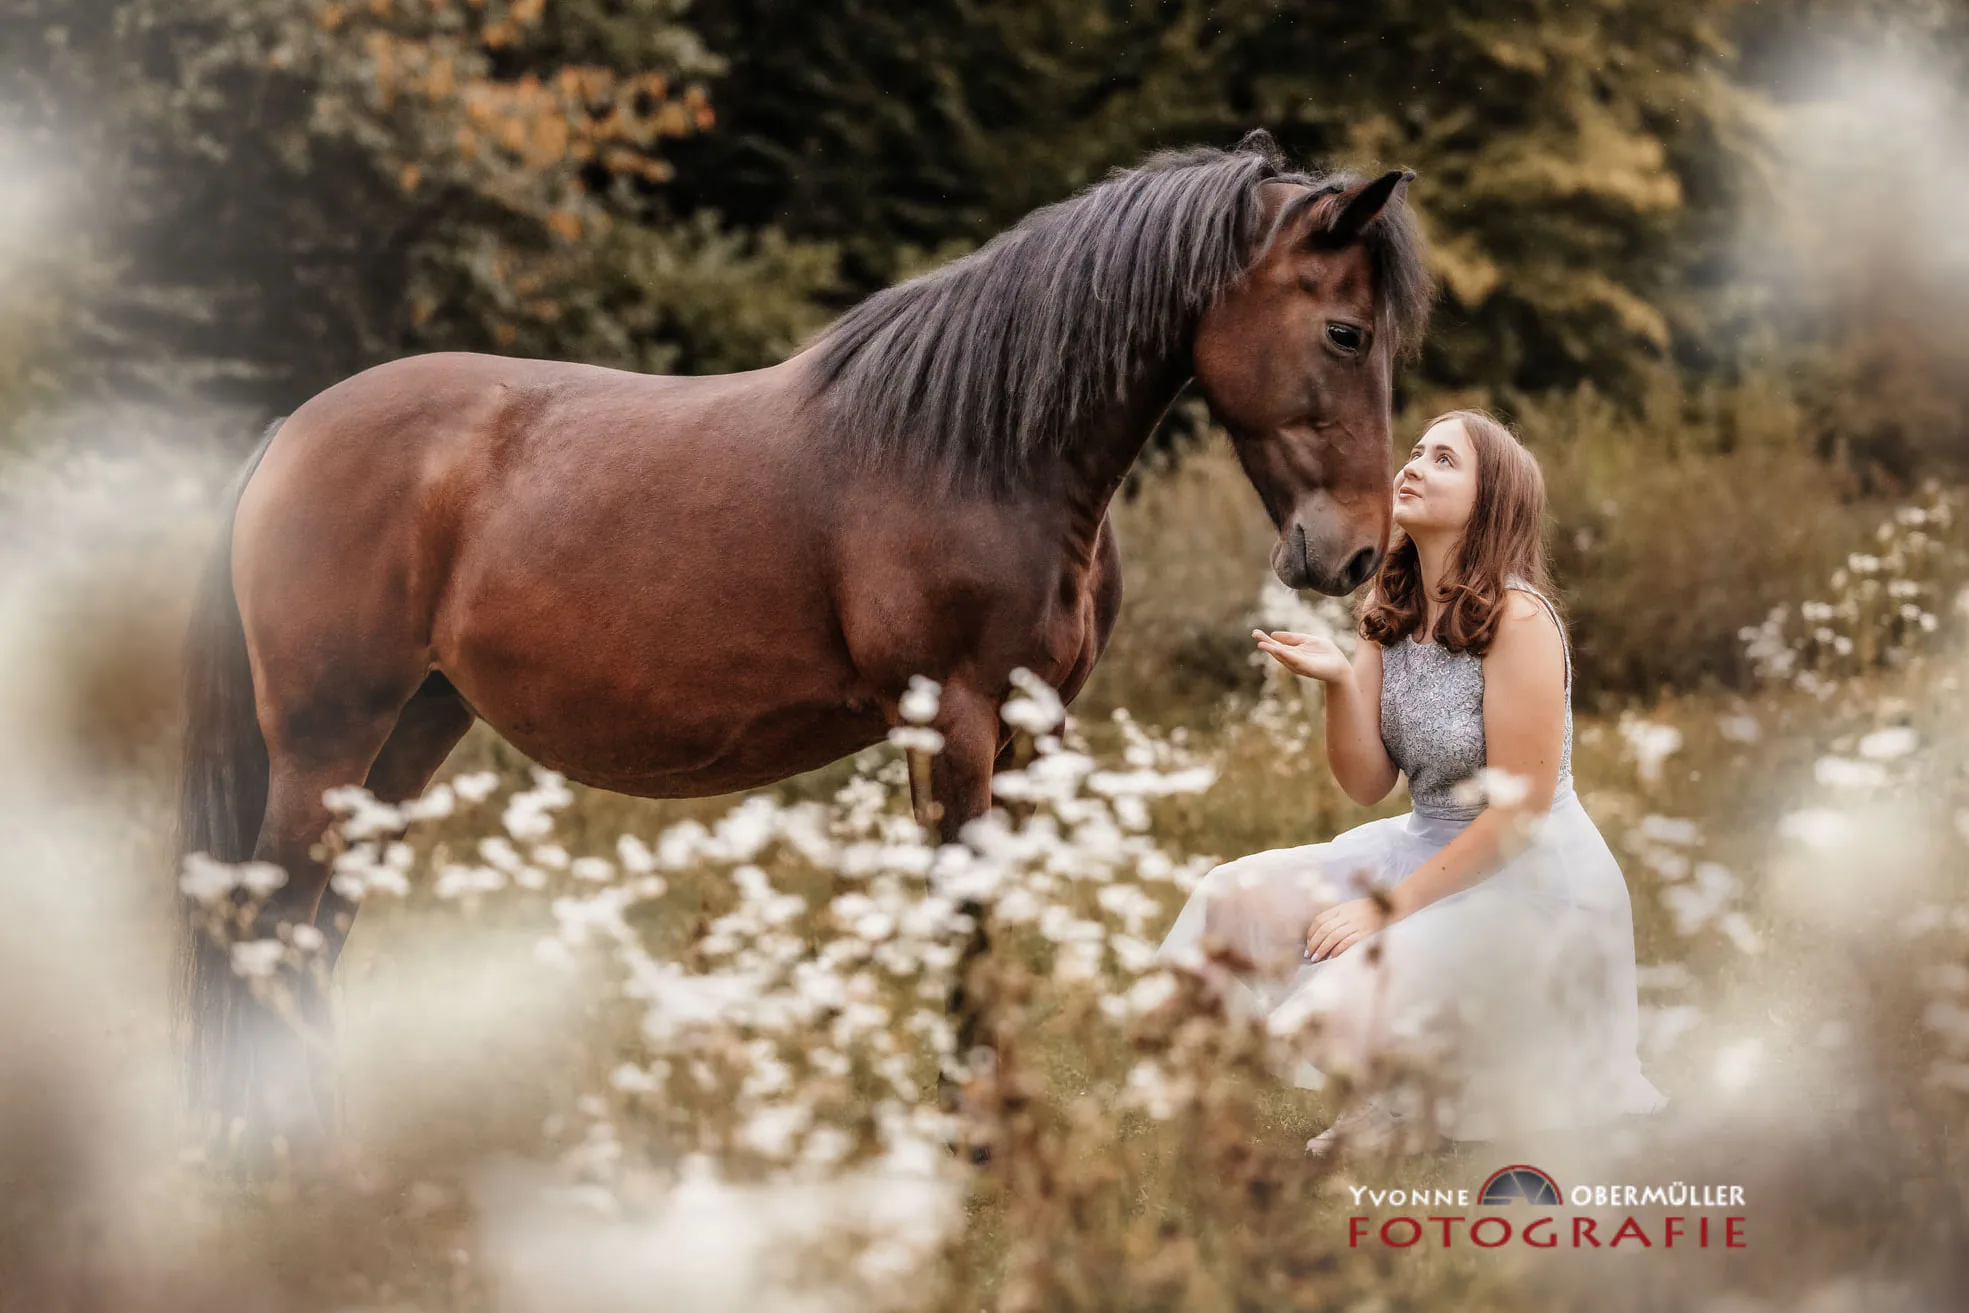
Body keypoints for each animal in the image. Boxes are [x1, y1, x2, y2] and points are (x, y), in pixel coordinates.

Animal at [176, 129, 1432, 1151]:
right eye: (1342, 331)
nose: (1356, 555)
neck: (980, 446)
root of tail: (290, 431)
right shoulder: (952, 720)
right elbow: (963, 915)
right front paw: (972, 1138)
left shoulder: (1035, 730)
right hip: (328, 738)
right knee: (268, 922)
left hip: (409, 731)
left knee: (313, 930)